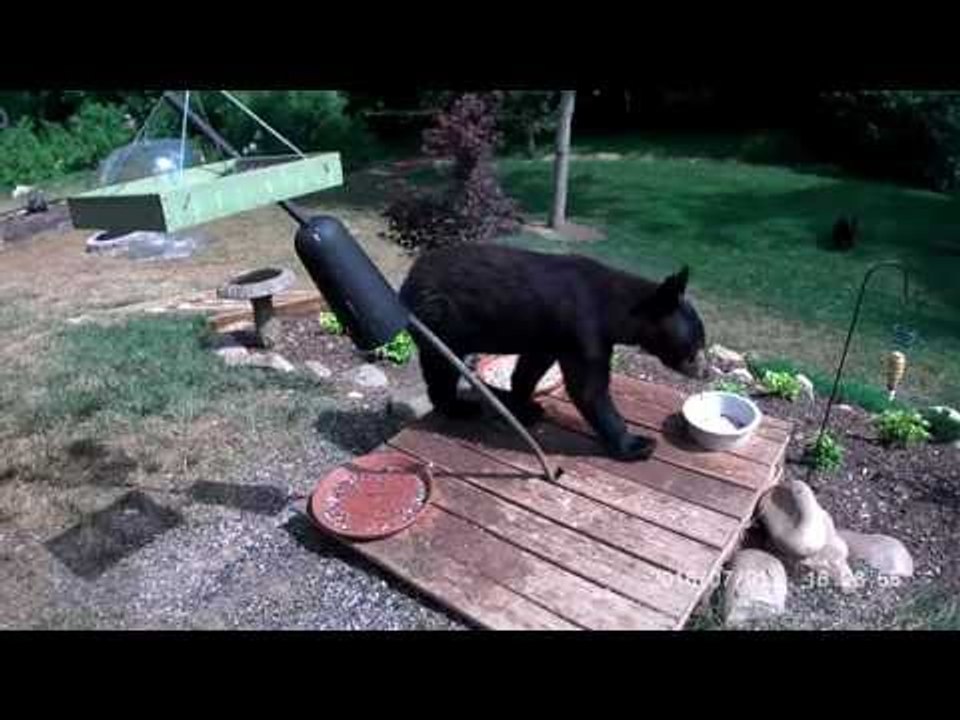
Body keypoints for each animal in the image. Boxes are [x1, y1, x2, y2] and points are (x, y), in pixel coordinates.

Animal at [399, 244, 709, 462]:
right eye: (696, 344)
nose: (706, 372)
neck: (615, 311)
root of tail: (407, 280)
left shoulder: (549, 337)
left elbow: (529, 369)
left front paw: (523, 408)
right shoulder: (584, 331)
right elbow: (588, 389)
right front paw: (635, 444)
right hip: (439, 323)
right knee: (441, 369)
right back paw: (459, 407)